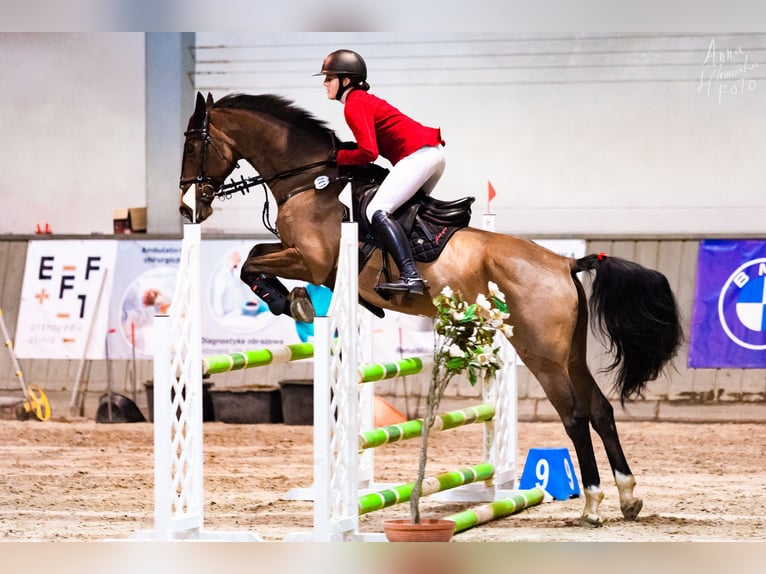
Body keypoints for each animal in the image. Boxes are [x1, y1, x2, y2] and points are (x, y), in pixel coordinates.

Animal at [178, 91, 683, 527]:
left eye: (194, 144)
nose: (188, 209)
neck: (310, 183)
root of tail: (564, 261)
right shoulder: (305, 259)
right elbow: (254, 256)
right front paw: (291, 300)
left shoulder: (314, 261)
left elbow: (252, 260)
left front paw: (291, 300)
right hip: (571, 353)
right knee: (601, 410)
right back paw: (628, 498)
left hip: (541, 354)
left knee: (576, 417)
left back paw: (593, 506)